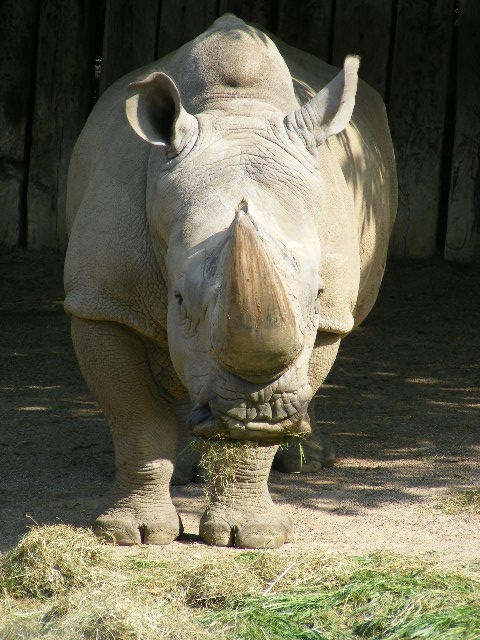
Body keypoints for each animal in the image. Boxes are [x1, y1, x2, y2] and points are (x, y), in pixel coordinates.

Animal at [64, 14, 397, 548]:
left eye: (318, 293)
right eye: (179, 299)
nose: (256, 413)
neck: (235, 112)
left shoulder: (328, 315)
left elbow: (272, 415)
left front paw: (252, 536)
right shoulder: (102, 302)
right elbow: (135, 417)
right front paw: (131, 533)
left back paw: (306, 461)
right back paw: (189, 466)